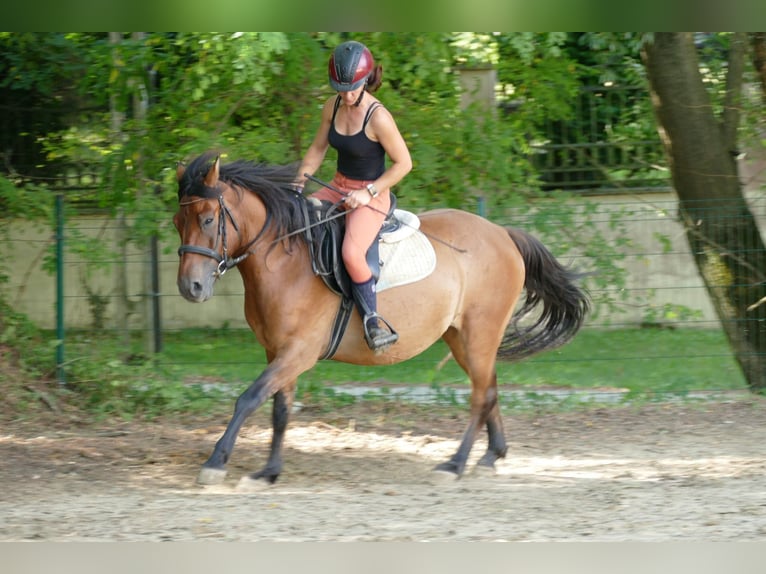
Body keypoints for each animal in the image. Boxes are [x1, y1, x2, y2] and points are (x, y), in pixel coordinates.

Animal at [176, 151, 592, 488]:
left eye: (209, 219)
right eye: (179, 222)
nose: (190, 287)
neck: (285, 260)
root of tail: (502, 234)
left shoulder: (298, 352)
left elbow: (248, 399)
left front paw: (215, 463)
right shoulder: (277, 352)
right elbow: (280, 410)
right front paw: (269, 472)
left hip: (480, 332)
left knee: (480, 396)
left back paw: (455, 464)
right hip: (462, 337)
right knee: (489, 387)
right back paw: (491, 457)